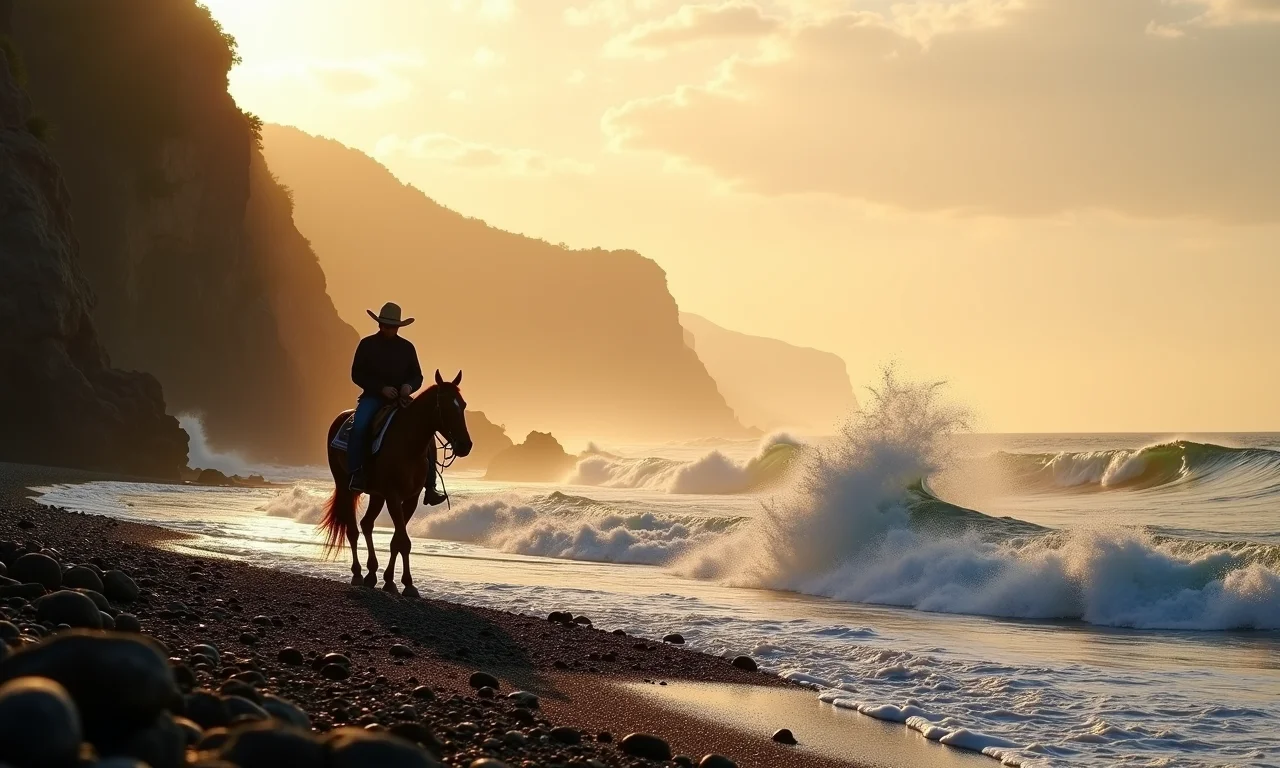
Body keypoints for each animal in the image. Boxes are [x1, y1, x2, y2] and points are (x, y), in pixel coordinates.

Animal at [320, 370, 472, 597]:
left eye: (462, 404)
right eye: (444, 406)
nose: (465, 445)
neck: (408, 445)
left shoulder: (410, 499)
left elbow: (397, 541)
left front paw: (395, 582)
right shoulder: (393, 496)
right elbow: (403, 541)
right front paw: (404, 584)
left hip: (376, 494)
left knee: (366, 524)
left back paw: (371, 573)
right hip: (345, 487)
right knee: (353, 530)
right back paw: (357, 574)